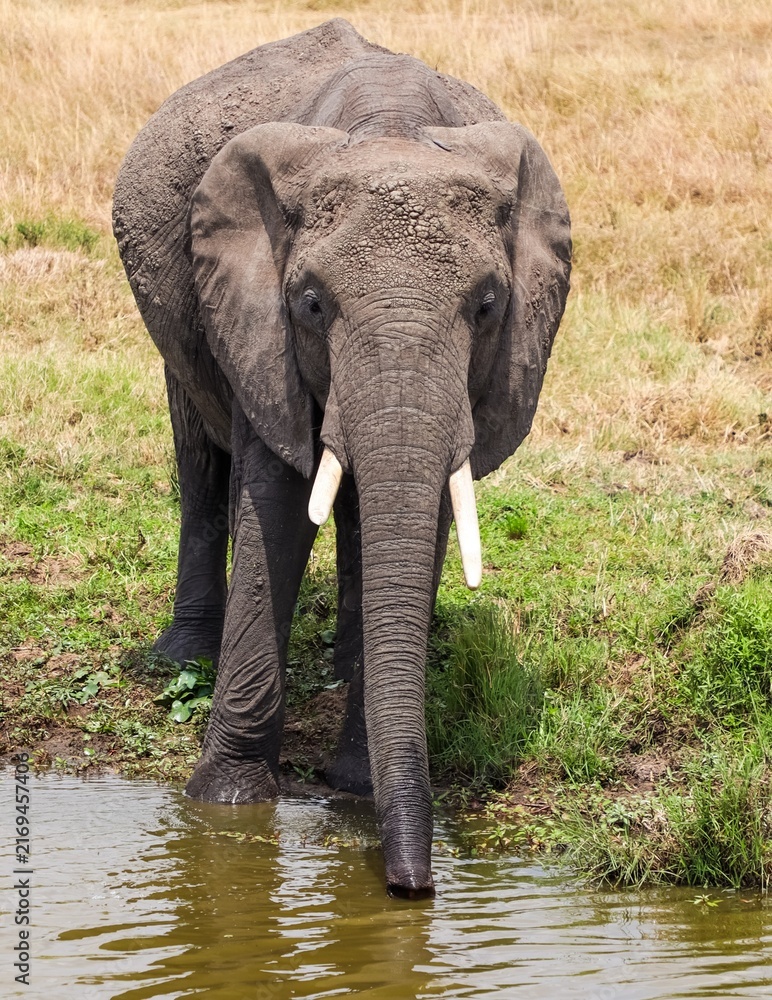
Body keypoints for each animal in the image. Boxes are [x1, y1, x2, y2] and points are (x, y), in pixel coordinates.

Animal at [112, 18, 571, 899]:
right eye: (312, 304)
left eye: (488, 304)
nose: (412, 888)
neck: (390, 132)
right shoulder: (256, 317)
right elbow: (277, 505)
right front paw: (225, 806)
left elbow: (423, 510)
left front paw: (353, 790)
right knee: (200, 459)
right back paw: (181, 657)